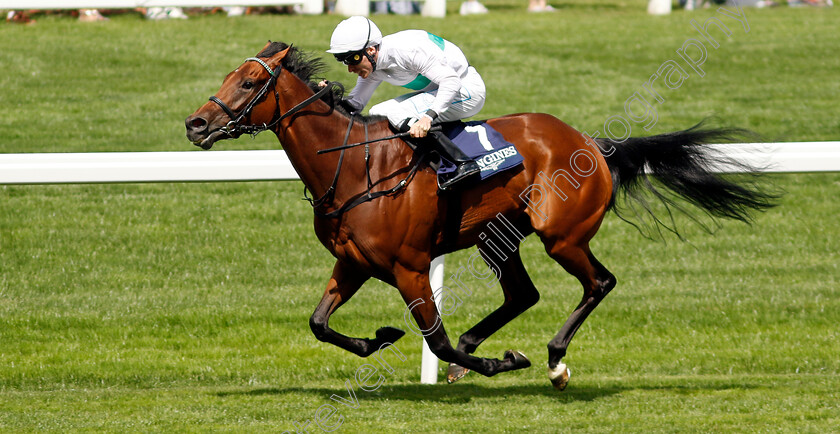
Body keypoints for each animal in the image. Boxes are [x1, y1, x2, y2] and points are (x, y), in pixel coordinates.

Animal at [184, 42, 776, 388]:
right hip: (500, 235)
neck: (352, 166)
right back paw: (485, 347)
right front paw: (379, 338)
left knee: (599, 282)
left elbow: (435, 338)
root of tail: (593, 142)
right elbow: (319, 324)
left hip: (562, 234)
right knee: (523, 294)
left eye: (247, 83)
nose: (195, 124)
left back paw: (553, 360)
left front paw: (497, 363)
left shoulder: (409, 266)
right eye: (230, 76)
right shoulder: (352, 263)